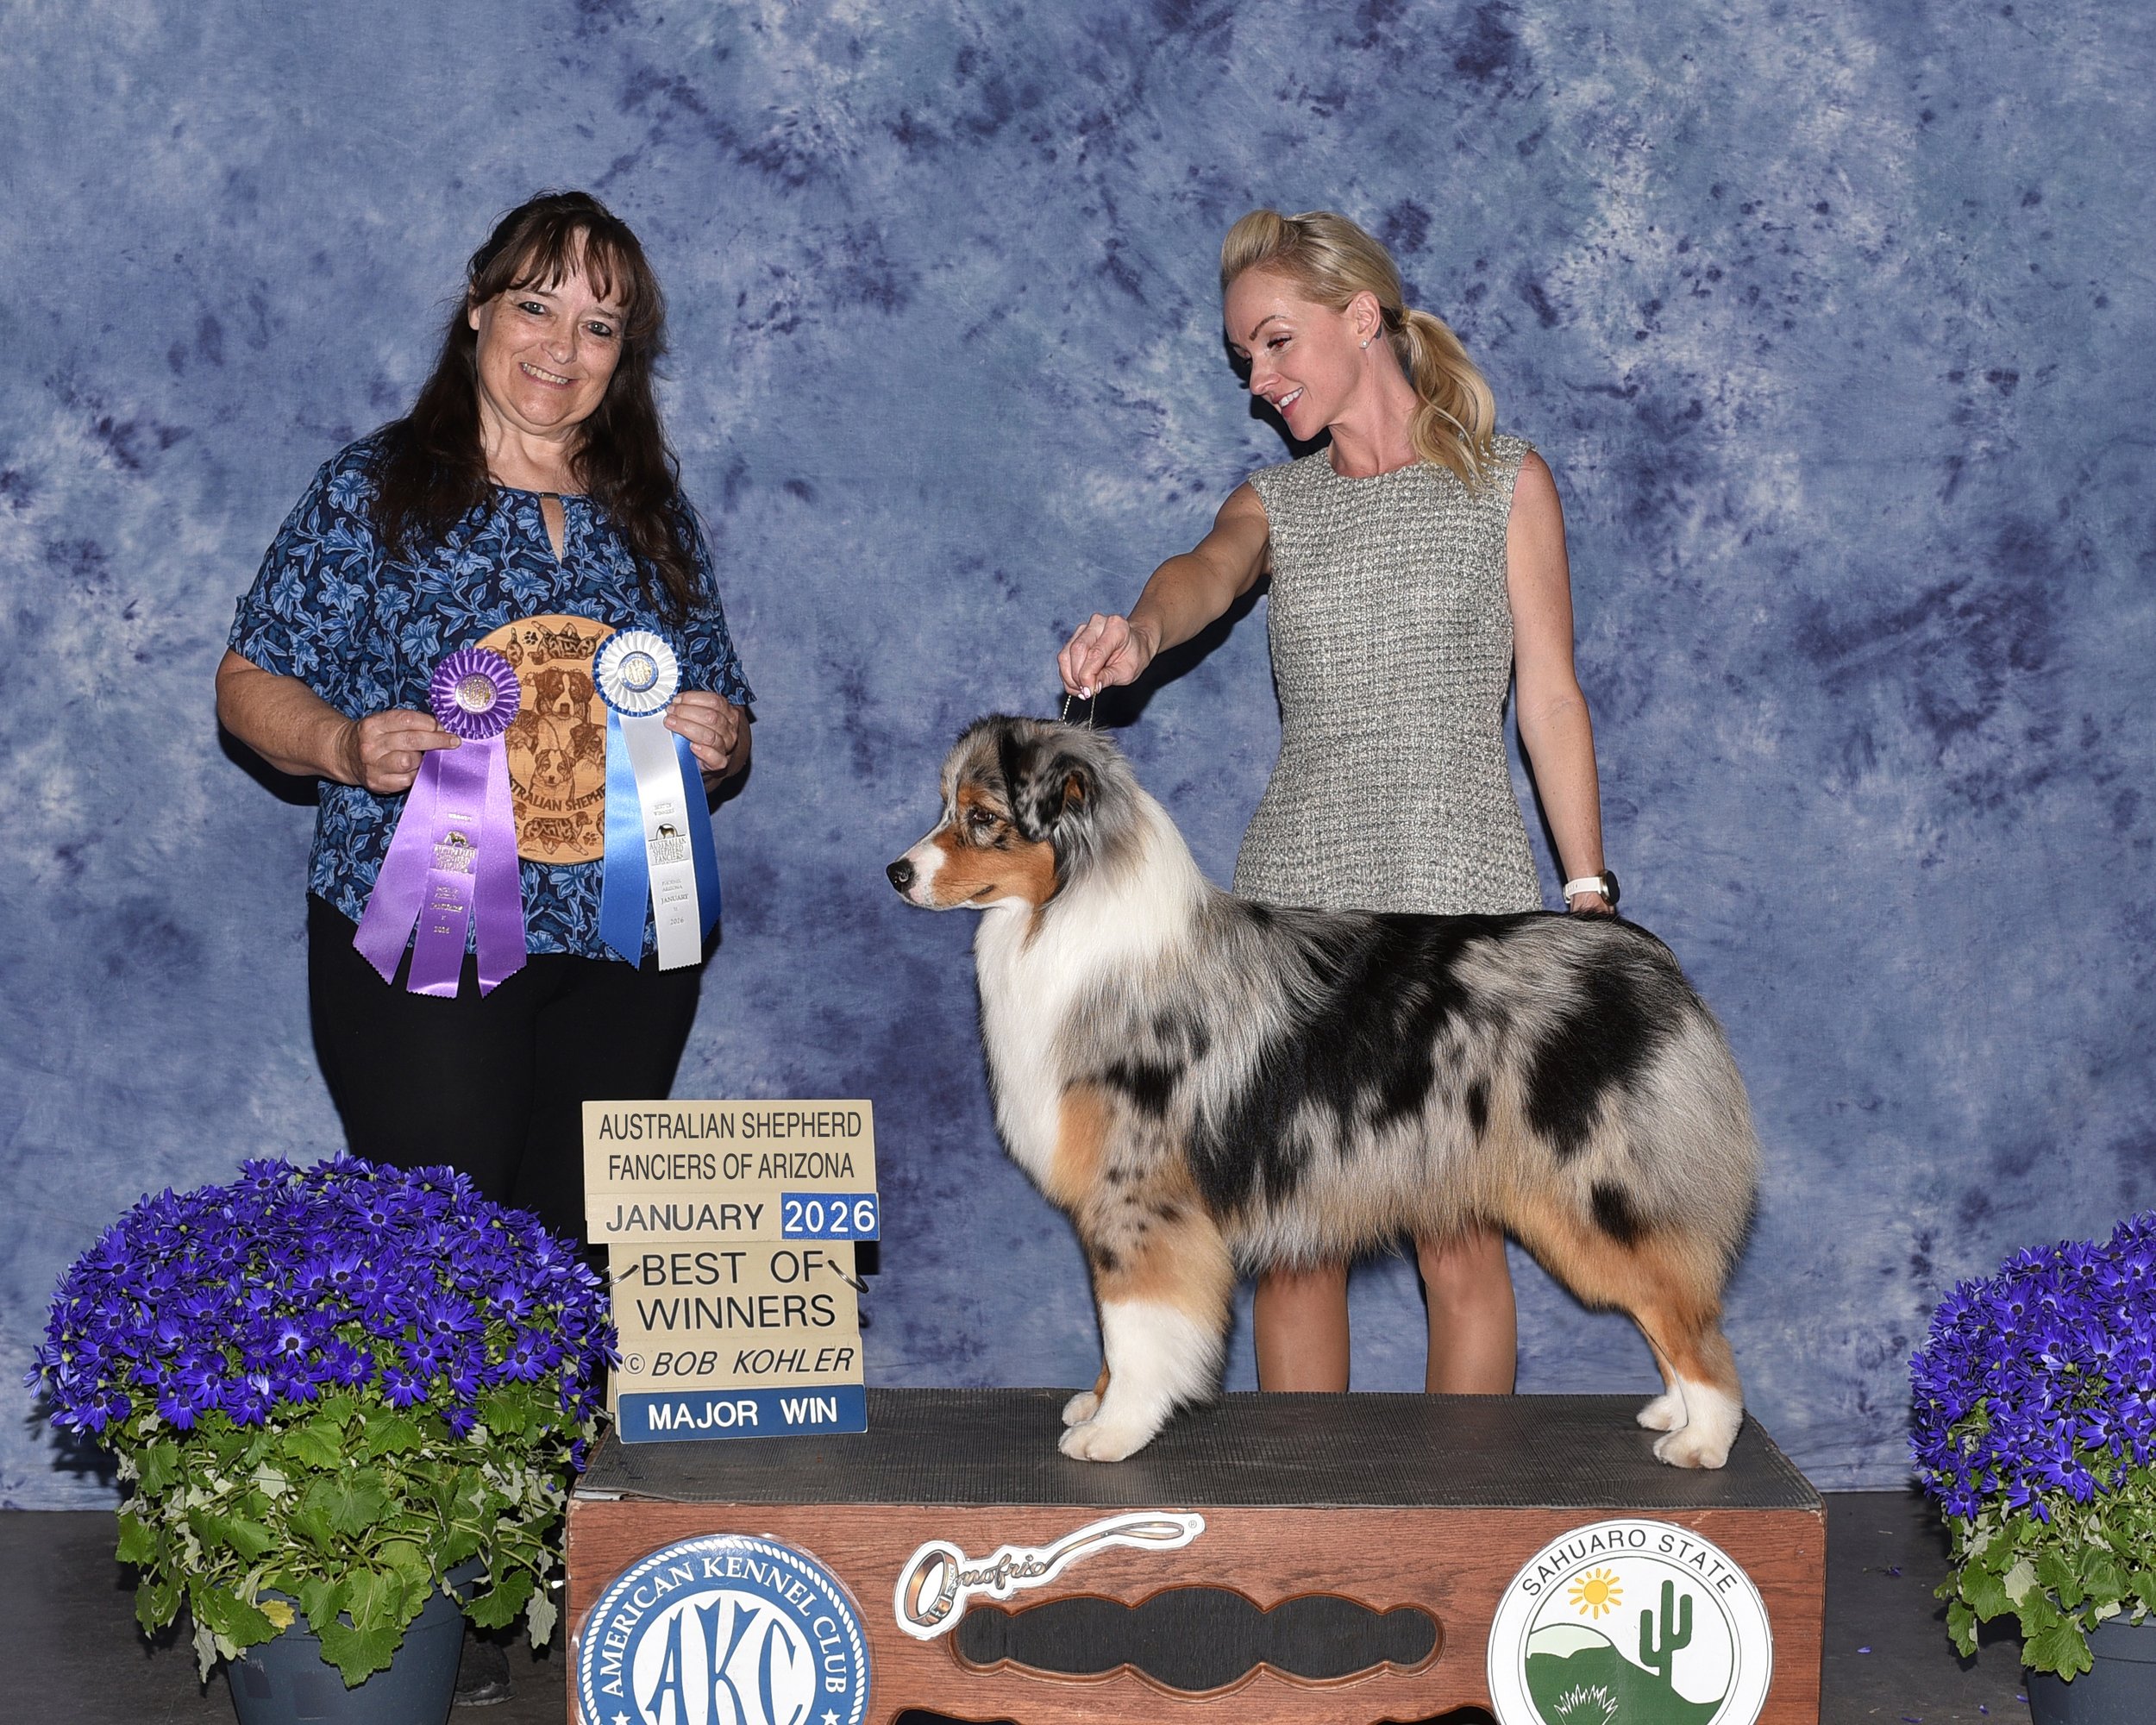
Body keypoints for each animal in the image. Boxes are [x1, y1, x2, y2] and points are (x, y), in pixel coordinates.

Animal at [888, 717, 1760, 1468]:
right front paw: (1098, 1404)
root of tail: (1646, 956)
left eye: (981, 817)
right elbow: (1115, 1324)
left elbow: (1136, 1325)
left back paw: (1702, 1438)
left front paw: (1114, 1431)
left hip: (1600, 1192)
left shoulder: (1136, 1190)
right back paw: (1672, 1410)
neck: (1065, 916)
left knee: (1693, 1321)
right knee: (1671, 1306)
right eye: (946, 807)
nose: (896, 873)